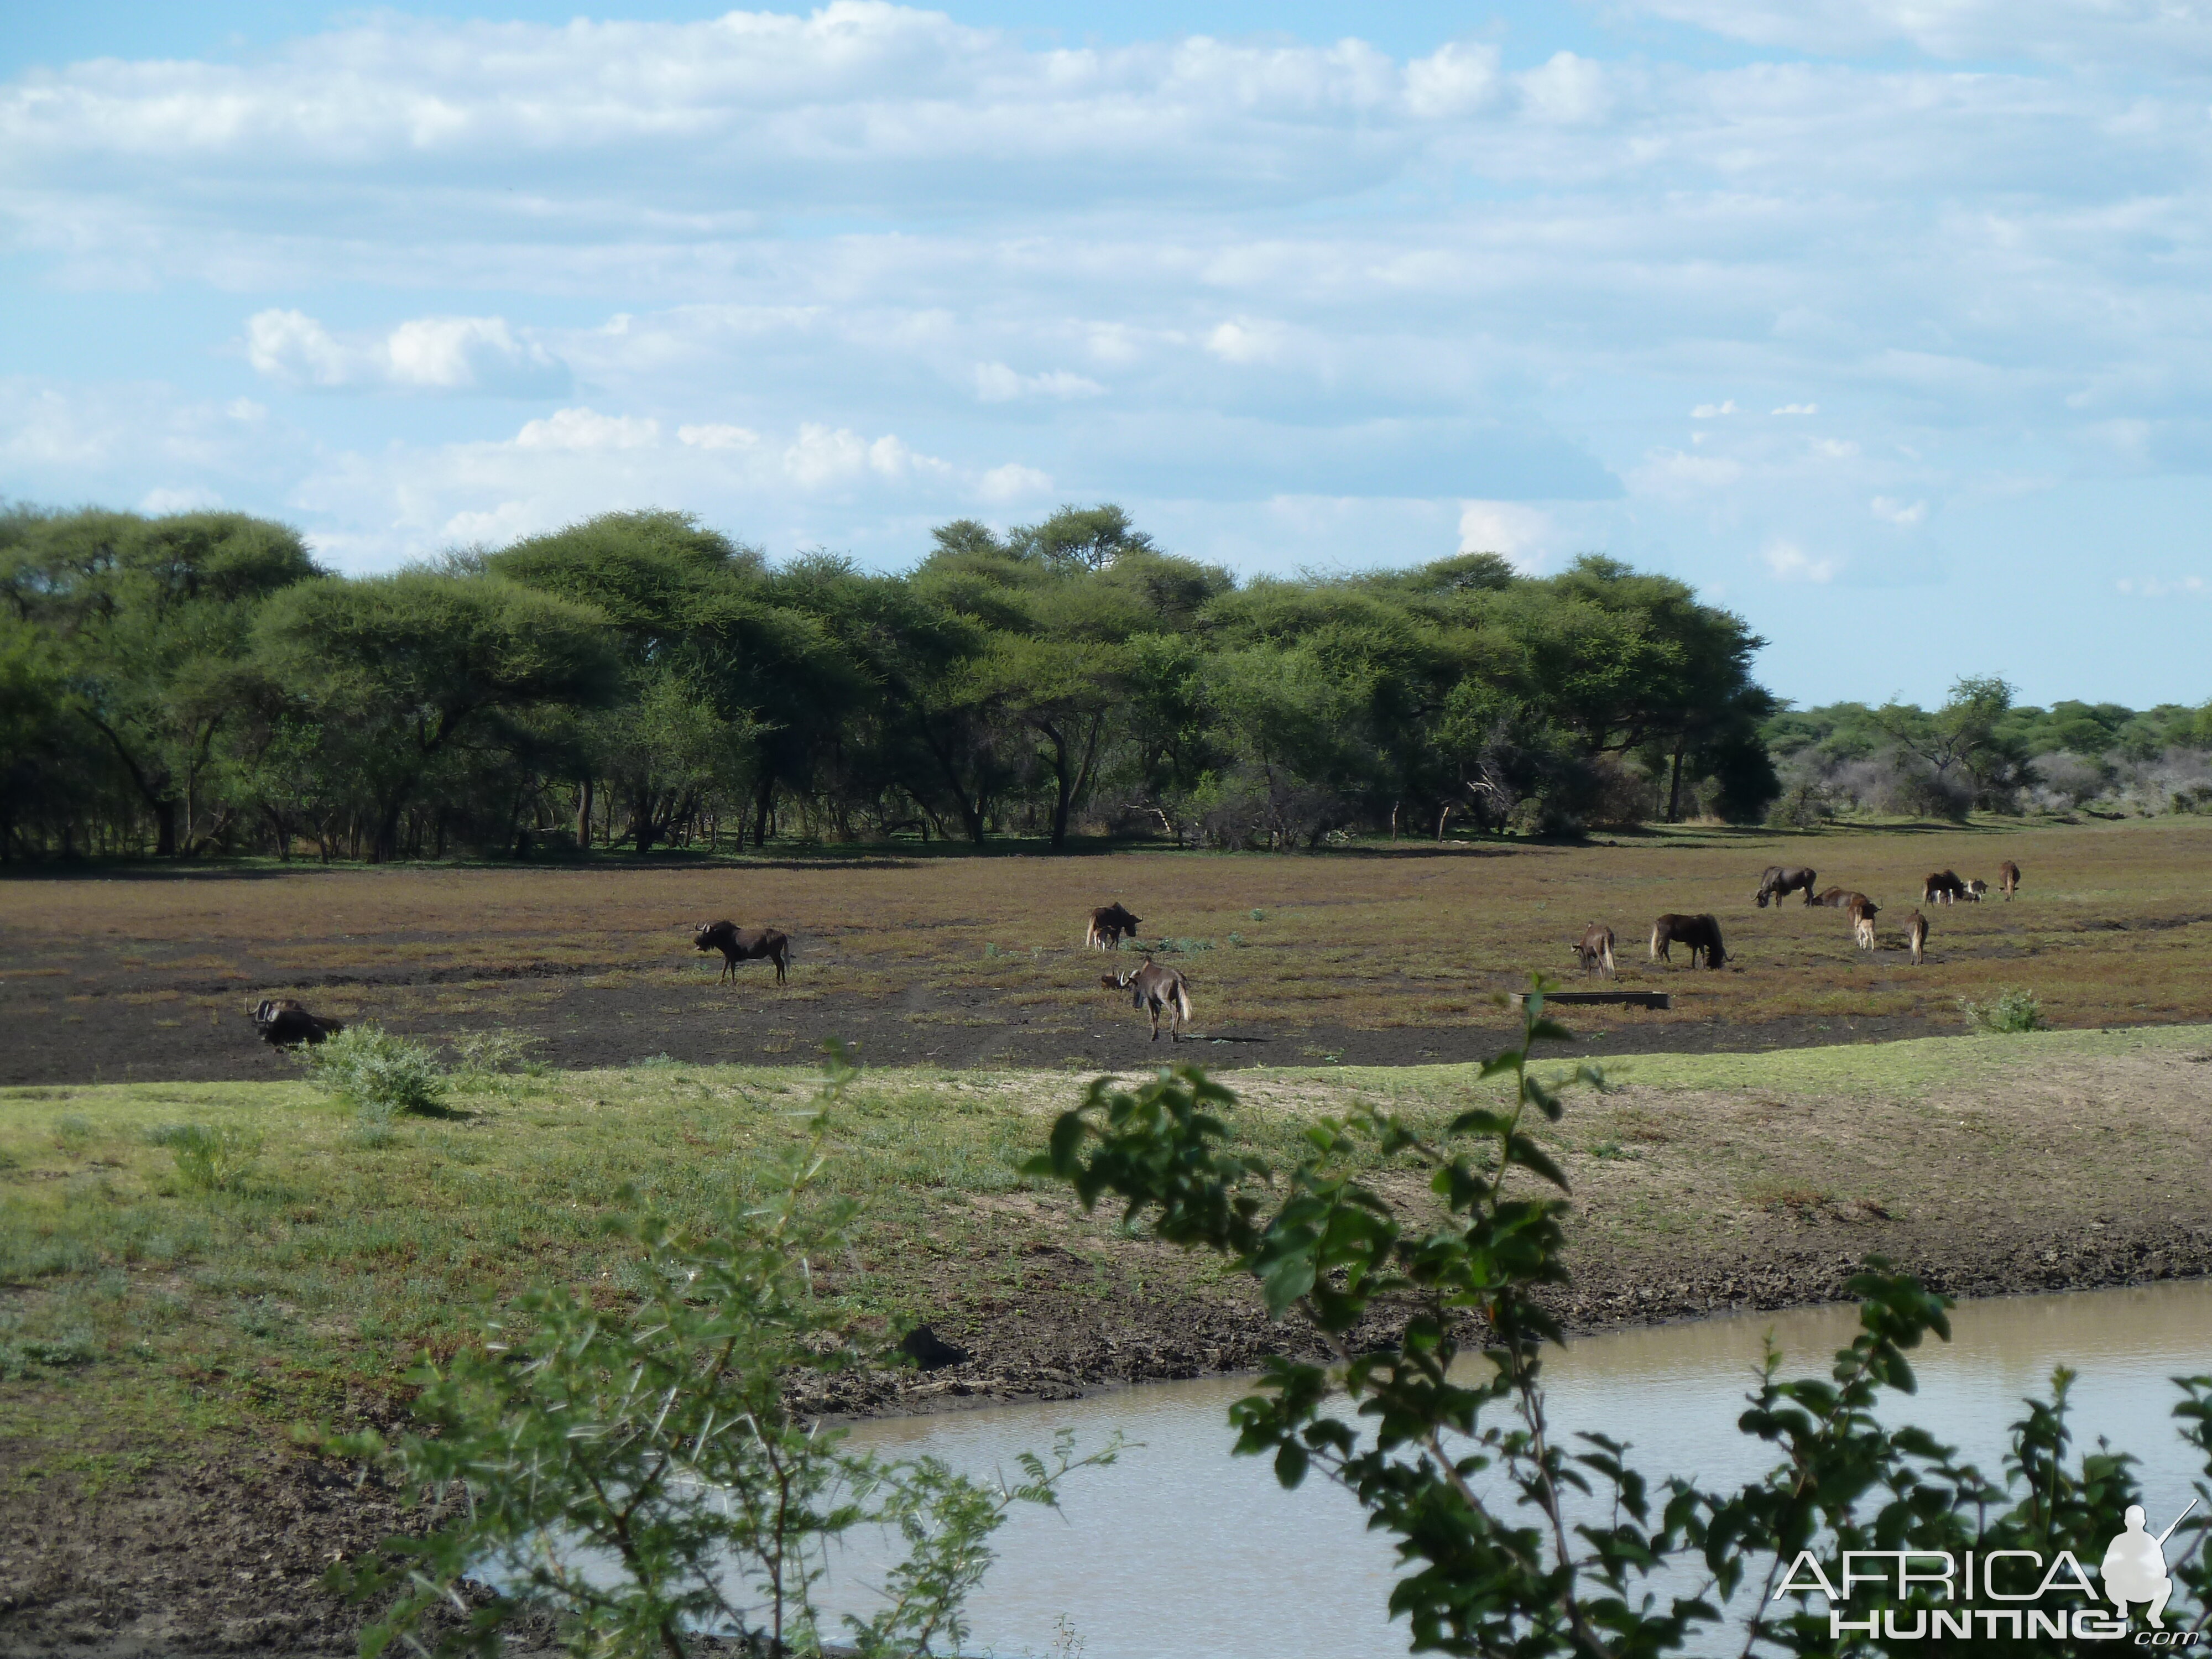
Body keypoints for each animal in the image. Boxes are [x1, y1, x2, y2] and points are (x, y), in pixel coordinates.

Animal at [699, 925, 796, 987]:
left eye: (705, 934)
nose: (697, 942)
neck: (726, 936)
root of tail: (783, 935)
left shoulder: (730, 957)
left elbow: (729, 969)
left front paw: (729, 982)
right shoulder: (730, 958)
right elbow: (728, 969)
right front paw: (726, 982)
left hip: (774, 954)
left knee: (780, 965)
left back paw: (780, 982)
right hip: (775, 954)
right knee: (780, 965)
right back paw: (781, 981)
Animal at [1106, 960, 1194, 1040]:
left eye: (1133, 986)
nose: (1135, 1005)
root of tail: (1178, 978)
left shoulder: (1148, 999)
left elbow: (1152, 1017)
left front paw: (1153, 1036)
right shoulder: (1158, 1003)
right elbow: (1156, 1017)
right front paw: (1156, 1035)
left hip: (1165, 999)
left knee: (1174, 1011)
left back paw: (1173, 1034)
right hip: (1178, 999)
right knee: (1179, 1014)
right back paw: (1176, 1037)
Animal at [1646, 916, 1725, 969]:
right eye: (1720, 955)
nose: (1717, 967)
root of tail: (1658, 920)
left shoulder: (1695, 944)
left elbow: (1694, 954)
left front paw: (1693, 966)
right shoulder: (1700, 942)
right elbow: (1702, 953)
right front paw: (1704, 967)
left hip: (1667, 939)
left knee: (1664, 950)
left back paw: (1669, 962)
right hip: (1666, 938)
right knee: (1661, 950)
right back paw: (1665, 963)